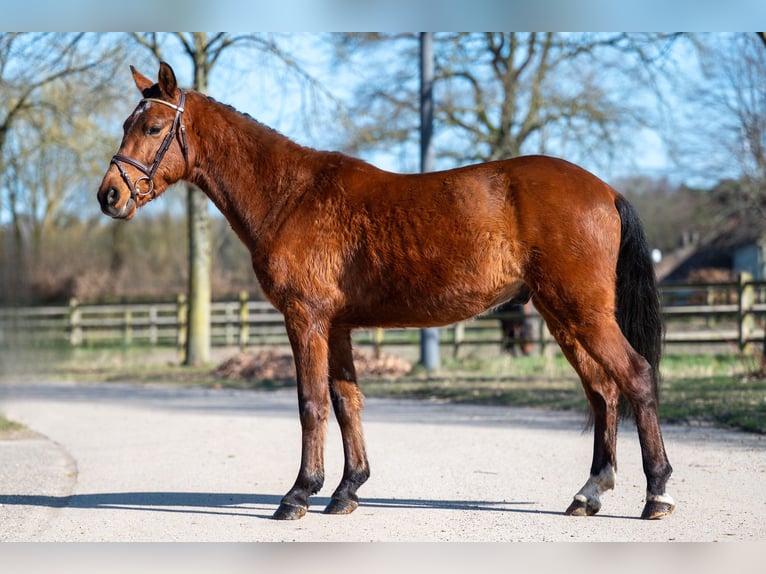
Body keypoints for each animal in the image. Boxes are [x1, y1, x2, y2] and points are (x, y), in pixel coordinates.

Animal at [97, 63, 680, 520]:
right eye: (127, 123)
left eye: (152, 125)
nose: (109, 195)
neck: (292, 194)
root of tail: (605, 189)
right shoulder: (337, 327)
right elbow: (346, 401)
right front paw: (346, 490)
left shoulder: (305, 320)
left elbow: (311, 403)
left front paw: (299, 494)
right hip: (563, 317)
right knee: (602, 392)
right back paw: (589, 492)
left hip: (582, 314)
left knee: (635, 377)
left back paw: (656, 493)